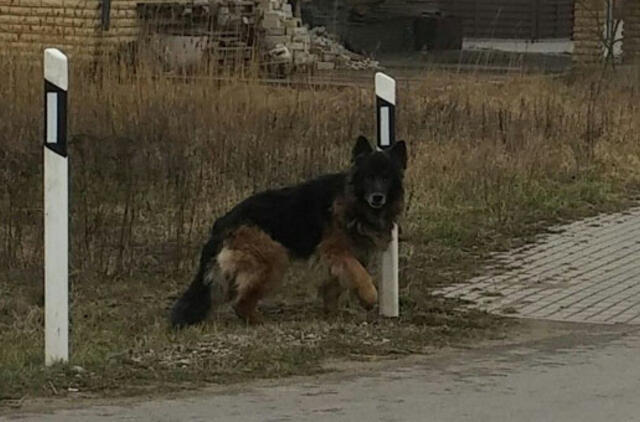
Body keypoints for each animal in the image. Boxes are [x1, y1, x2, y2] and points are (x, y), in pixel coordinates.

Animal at [170, 135, 408, 326]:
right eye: (368, 177)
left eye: (386, 177)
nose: (377, 197)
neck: (352, 202)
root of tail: (223, 222)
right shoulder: (337, 252)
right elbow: (360, 275)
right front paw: (369, 298)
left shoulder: (342, 257)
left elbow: (334, 287)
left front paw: (332, 313)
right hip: (274, 257)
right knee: (240, 302)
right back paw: (258, 321)